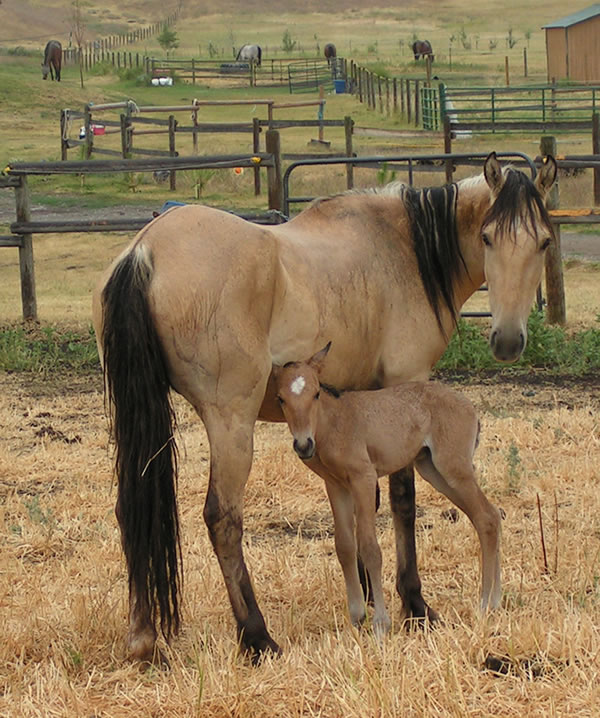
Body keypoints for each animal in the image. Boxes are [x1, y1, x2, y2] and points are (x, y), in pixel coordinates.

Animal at [276, 346, 502, 640]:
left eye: (315, 393)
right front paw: (356, 616)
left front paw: (380, 623)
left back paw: (485, 603)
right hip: (433, 470)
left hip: (454, 469)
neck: (335, 422)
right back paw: (496, 600)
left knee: (486, 517)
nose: (304, 445)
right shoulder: (336, 486)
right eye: (281, 399)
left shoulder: (364, 478)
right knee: (489, 516)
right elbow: (344, 546)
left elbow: (370, 547)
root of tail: (471, 410)